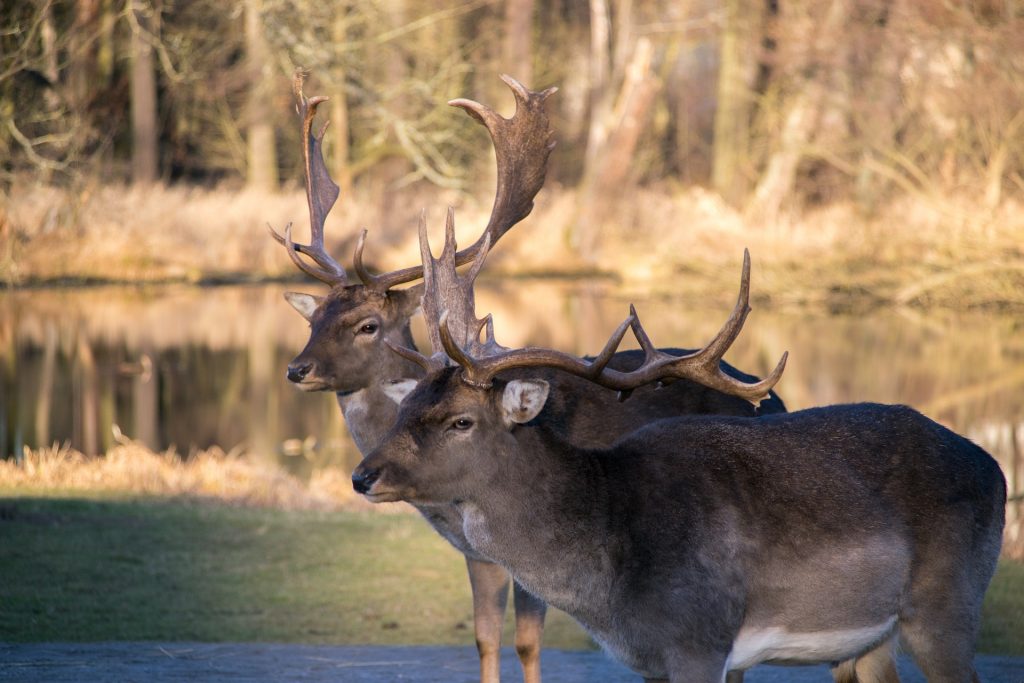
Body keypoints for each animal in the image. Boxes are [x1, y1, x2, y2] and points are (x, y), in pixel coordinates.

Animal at [272, 72, 790, 679]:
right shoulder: (475, 554)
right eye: (315, 319)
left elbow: (523, 641)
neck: (445, 509)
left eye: (367, 325)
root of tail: (774, 400)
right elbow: (483, 636)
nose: (297, 368)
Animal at [356, 248, 1003, 683]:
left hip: (948, 604)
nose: (363, 475)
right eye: (407, 406)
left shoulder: (700, 639)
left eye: (461, 421)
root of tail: (993, 466)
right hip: (871, 639)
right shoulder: (649, 659)